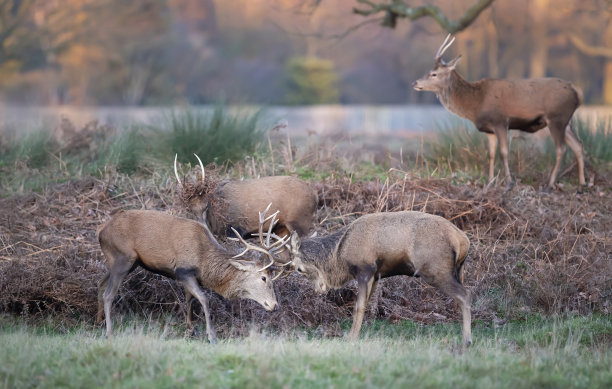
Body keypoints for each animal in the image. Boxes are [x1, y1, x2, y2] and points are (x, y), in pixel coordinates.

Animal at [96, 208, 290, 342]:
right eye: (264, 278)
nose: (275, 305)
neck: (204, 262)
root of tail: (101, 231)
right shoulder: (183, 271)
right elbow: (203, 299)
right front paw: (211, 336)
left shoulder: (189, 277)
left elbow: (189, 300)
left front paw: (190, 330)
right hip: (123, 257)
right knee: (108, 294)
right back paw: (109, 331)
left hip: (126, 261)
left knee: (101, 284)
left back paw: (99, 321)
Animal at [172, 153, 316, 238]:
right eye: (189, 210)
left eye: (206, 207)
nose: (204, 230)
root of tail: (314, 196)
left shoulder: (236, 228)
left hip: (299, 221)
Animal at [284, 211, 470, 348]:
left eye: (299, 269)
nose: (319, 289)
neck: (339, 256)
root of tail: (462, 240)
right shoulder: (376, 276)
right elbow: (366, 305)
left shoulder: (364, 270)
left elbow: (359, 306)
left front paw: (351, 337)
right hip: (455, 270)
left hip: (435, 268)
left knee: (464, 295)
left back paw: (467, 339)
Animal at [414, 34, 584, 192]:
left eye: (434, 73)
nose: (414, 82)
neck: (476, 104)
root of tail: (576, 93)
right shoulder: (489, 129)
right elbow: (491, 154)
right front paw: (489, 183)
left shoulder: (500, 121)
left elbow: (504, 152)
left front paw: (509, 183)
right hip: (567, 122)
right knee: (578, 145)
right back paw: (582, 185)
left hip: (557, 118)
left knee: (561, 149)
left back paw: (549, 185)